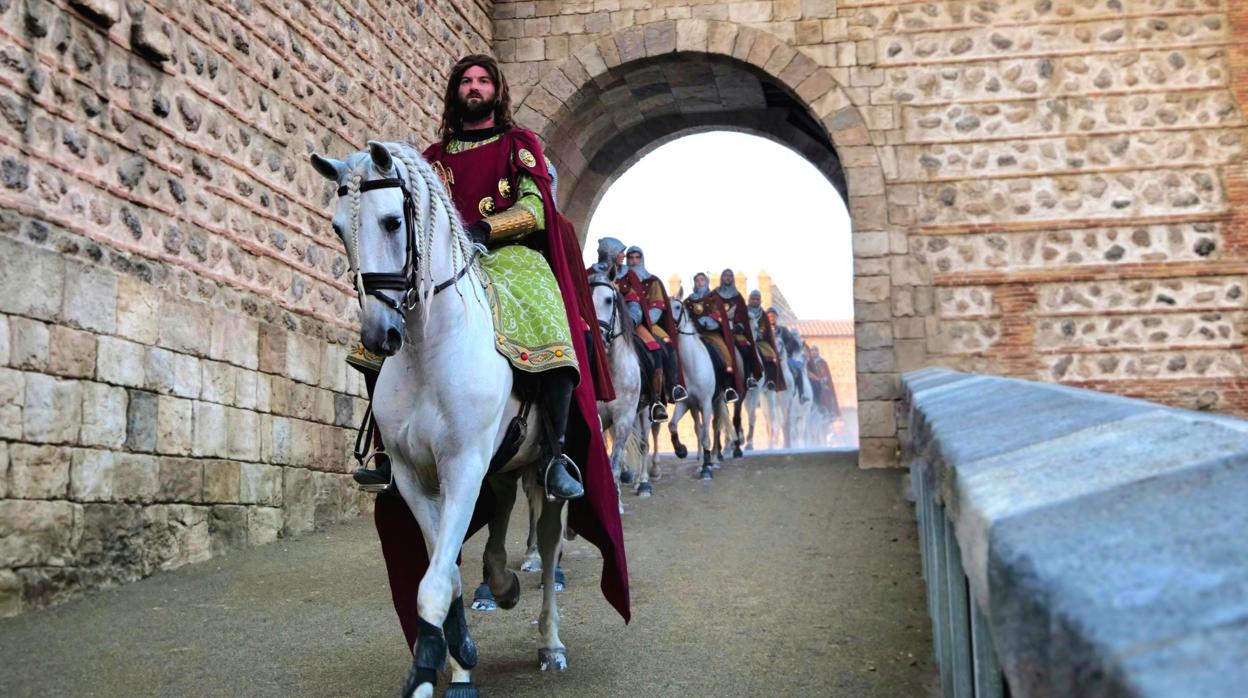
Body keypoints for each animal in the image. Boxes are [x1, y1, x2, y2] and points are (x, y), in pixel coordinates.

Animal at [319, 143, 576, 698]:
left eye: (393, 221)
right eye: (336, 227)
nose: (378, 336)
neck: (429, 352)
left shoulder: (461, 466)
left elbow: (435, 581)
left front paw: (426, 673)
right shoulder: (416, 478)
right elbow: (445, 567)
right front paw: (457, 659)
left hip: (542, 467)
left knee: (548, 545)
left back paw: (550, 642)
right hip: (498, 464)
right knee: (501, 509)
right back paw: (500, 584)